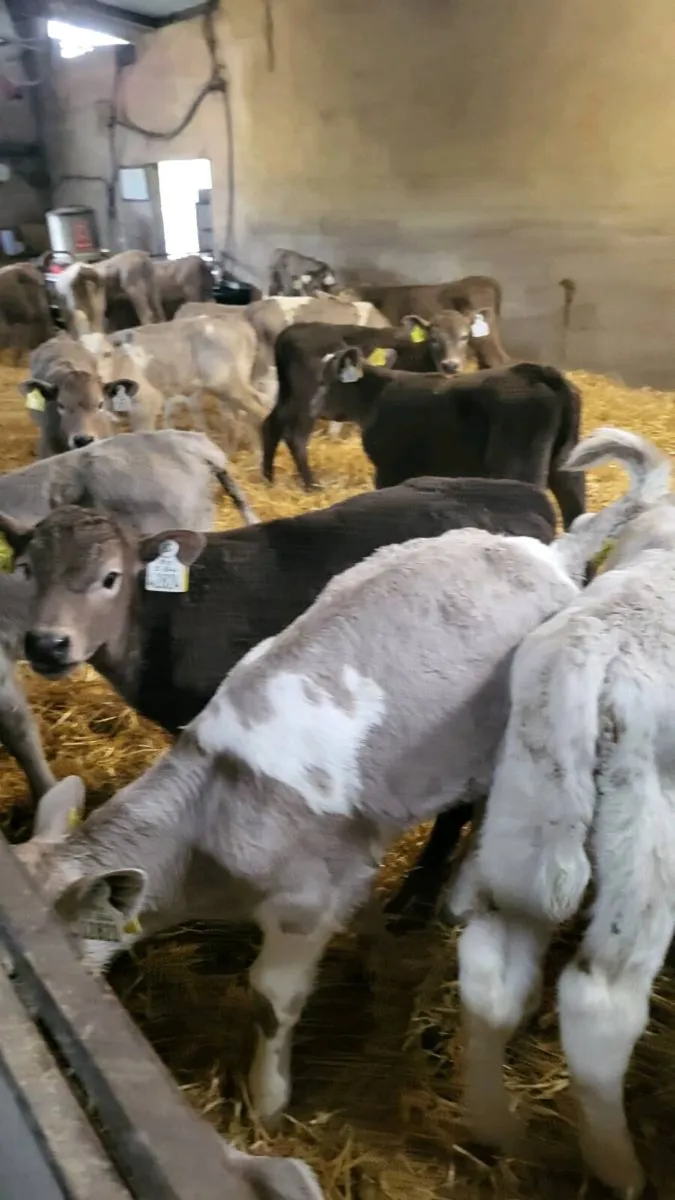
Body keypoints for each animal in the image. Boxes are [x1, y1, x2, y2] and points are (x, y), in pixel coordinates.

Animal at [7, 477, 555, 919]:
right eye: (27, 569)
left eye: (110, 577)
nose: (48, 644)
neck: (167, 615)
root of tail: (519, 494)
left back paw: (415, 896)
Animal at [262, 315, 474, 489]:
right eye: (433, 339)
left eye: (465, 337)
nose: (451, 365)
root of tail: (289, 333)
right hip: (307, 400)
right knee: (295, 437)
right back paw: (313, 485)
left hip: (288, 395)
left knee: (271, 425)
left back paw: (269, 480)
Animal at [314, 352, 585, 528]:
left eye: (325, 382)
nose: (315, 407)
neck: (374, 396)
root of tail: (536, 371)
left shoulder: (389, 470)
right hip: (567, 467)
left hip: (519, 463)